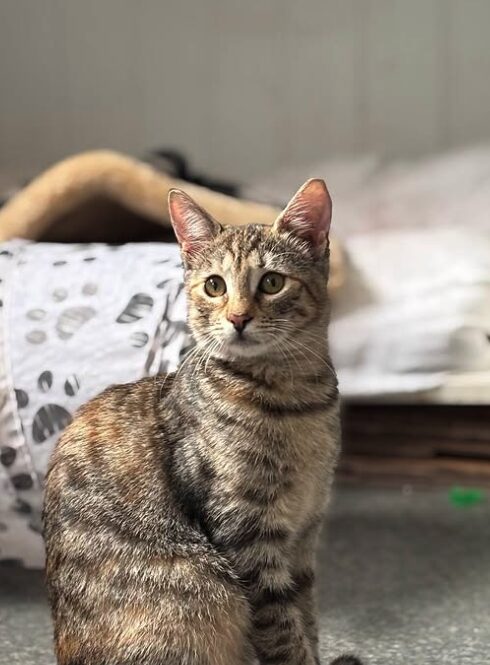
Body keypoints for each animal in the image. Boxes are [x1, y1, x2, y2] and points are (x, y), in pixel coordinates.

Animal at [44, 179, 362, 664]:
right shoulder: (246, 532)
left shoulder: (305, 535)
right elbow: (283, 631)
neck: (295, 400)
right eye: (215, 286)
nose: (238, 317)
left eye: (272, 282)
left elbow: (306, 617)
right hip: (196, 590)